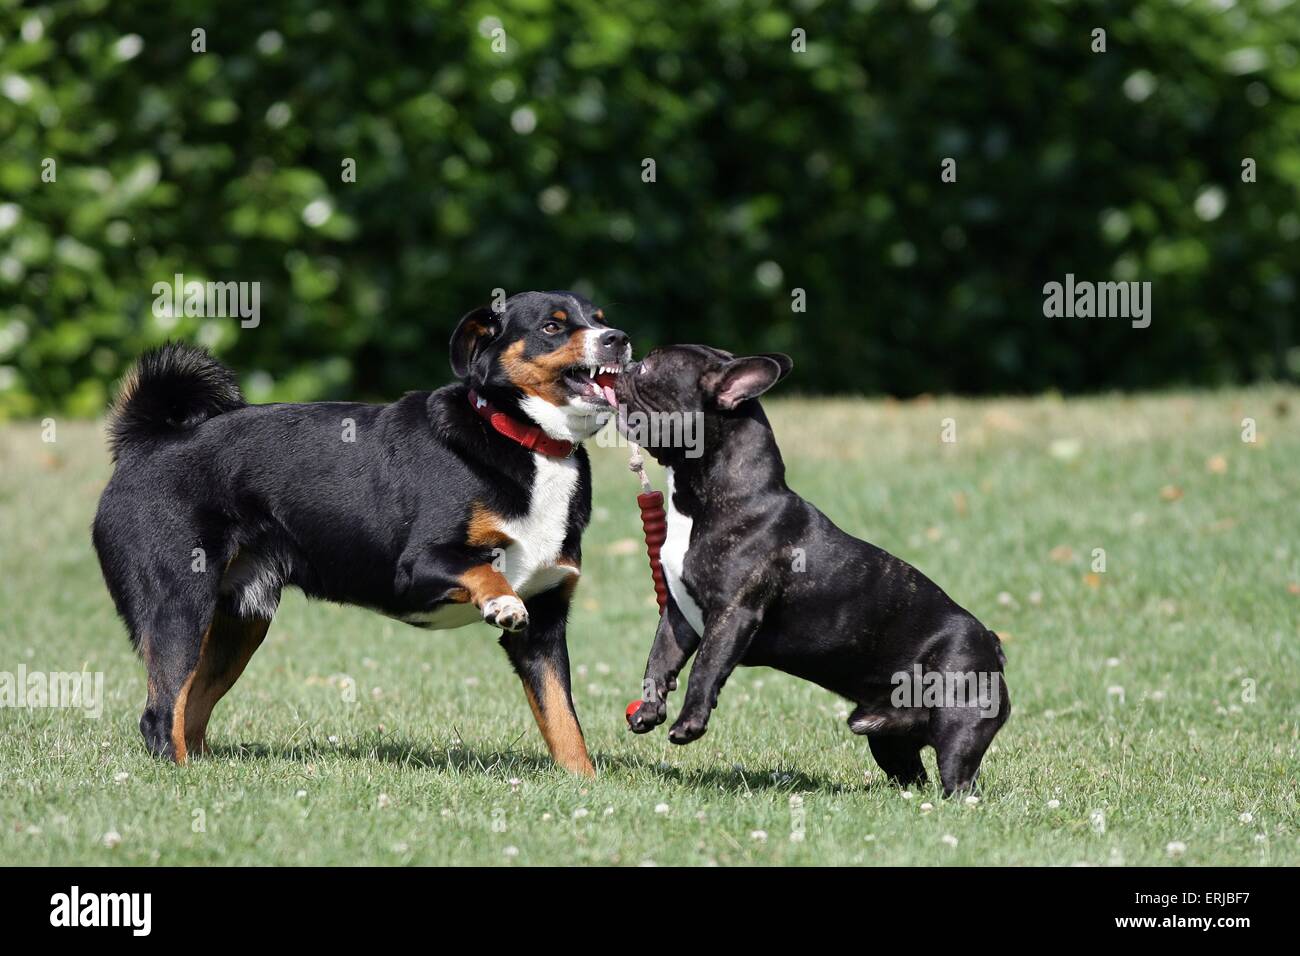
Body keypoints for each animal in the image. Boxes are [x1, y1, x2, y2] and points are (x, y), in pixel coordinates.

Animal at [91, 291, 629, 780]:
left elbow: (563, 720)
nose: (618, 339)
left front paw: (585, 785)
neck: (530, 441)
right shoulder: (417, 567)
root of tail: (149, 441)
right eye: (553, 326)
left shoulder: (544, 626)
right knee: (161, 715)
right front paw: (501, 601)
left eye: (599, 317)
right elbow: (482, 571)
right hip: (179, 605)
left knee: (191, 708)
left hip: (239, 622)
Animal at [624, 348, 1008, 796]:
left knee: (958, 777)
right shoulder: (680, 615)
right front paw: (649, 709)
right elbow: (659, 659)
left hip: (959, 720)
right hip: (888, 739)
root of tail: (991, 643)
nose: (626, 365)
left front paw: (688, 724)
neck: (712, 497)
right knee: (910, 771)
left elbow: (705, 667)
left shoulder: (733, 614)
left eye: (650, 367)